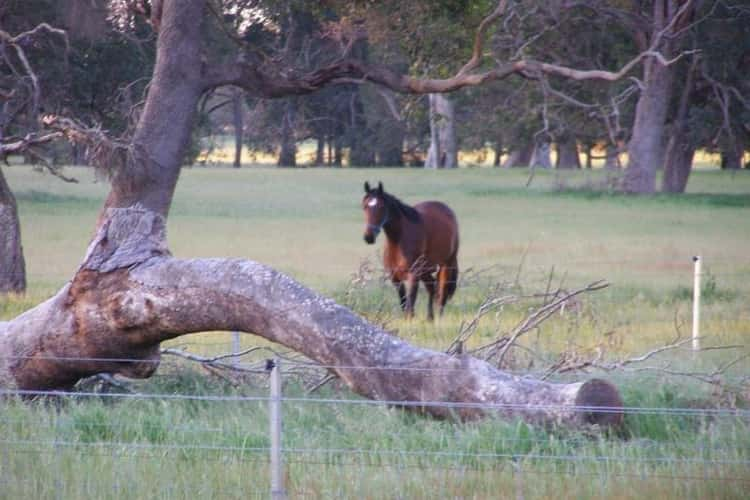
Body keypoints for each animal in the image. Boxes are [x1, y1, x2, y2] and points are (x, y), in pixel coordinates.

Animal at [362, 181, 462, 320]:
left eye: (381, 206)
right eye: (365, 206)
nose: (369, 237)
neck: (398, 241)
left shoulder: (413, 275)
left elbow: (410, 304)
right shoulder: (395, 278)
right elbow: (404, 303)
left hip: (446, 264)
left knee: (441, 293)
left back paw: (439, 319)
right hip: (425, 269)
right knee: (431, 287)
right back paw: (430, 318)